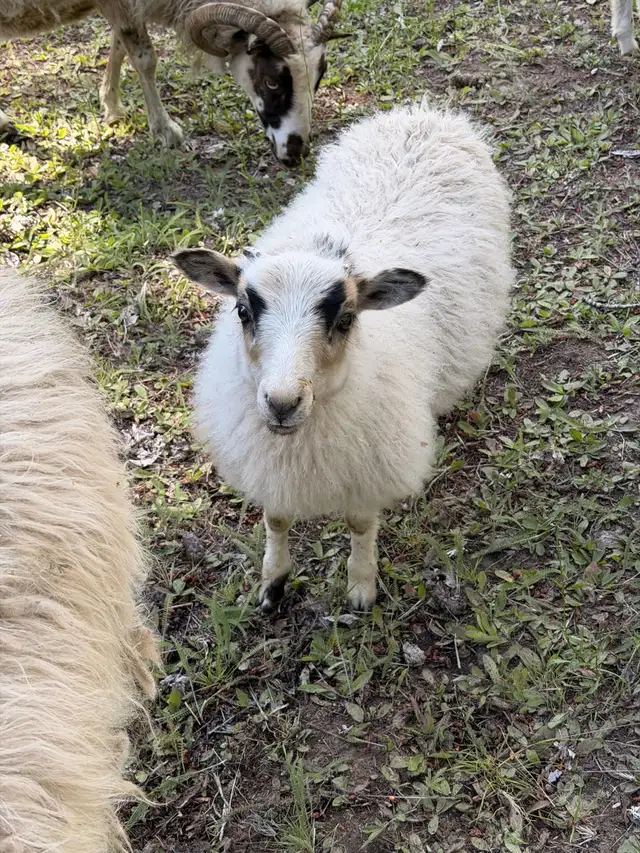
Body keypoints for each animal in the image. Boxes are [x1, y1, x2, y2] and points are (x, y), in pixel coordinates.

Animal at [0, 0, 345, 164]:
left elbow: (119, 43)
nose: (296, 154)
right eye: (272, 81)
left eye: (320, 75)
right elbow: (144, 58)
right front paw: (167, 132)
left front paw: (112, 106)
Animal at [173, 101, 514, 614]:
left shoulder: (368, 467)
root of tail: (425, 113)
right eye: (242, 310)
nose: (282, 403)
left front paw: (360, 588)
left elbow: (359, 525)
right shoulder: (271, 468)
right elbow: (276, 520)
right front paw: (273, 582)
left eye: (347, 319)